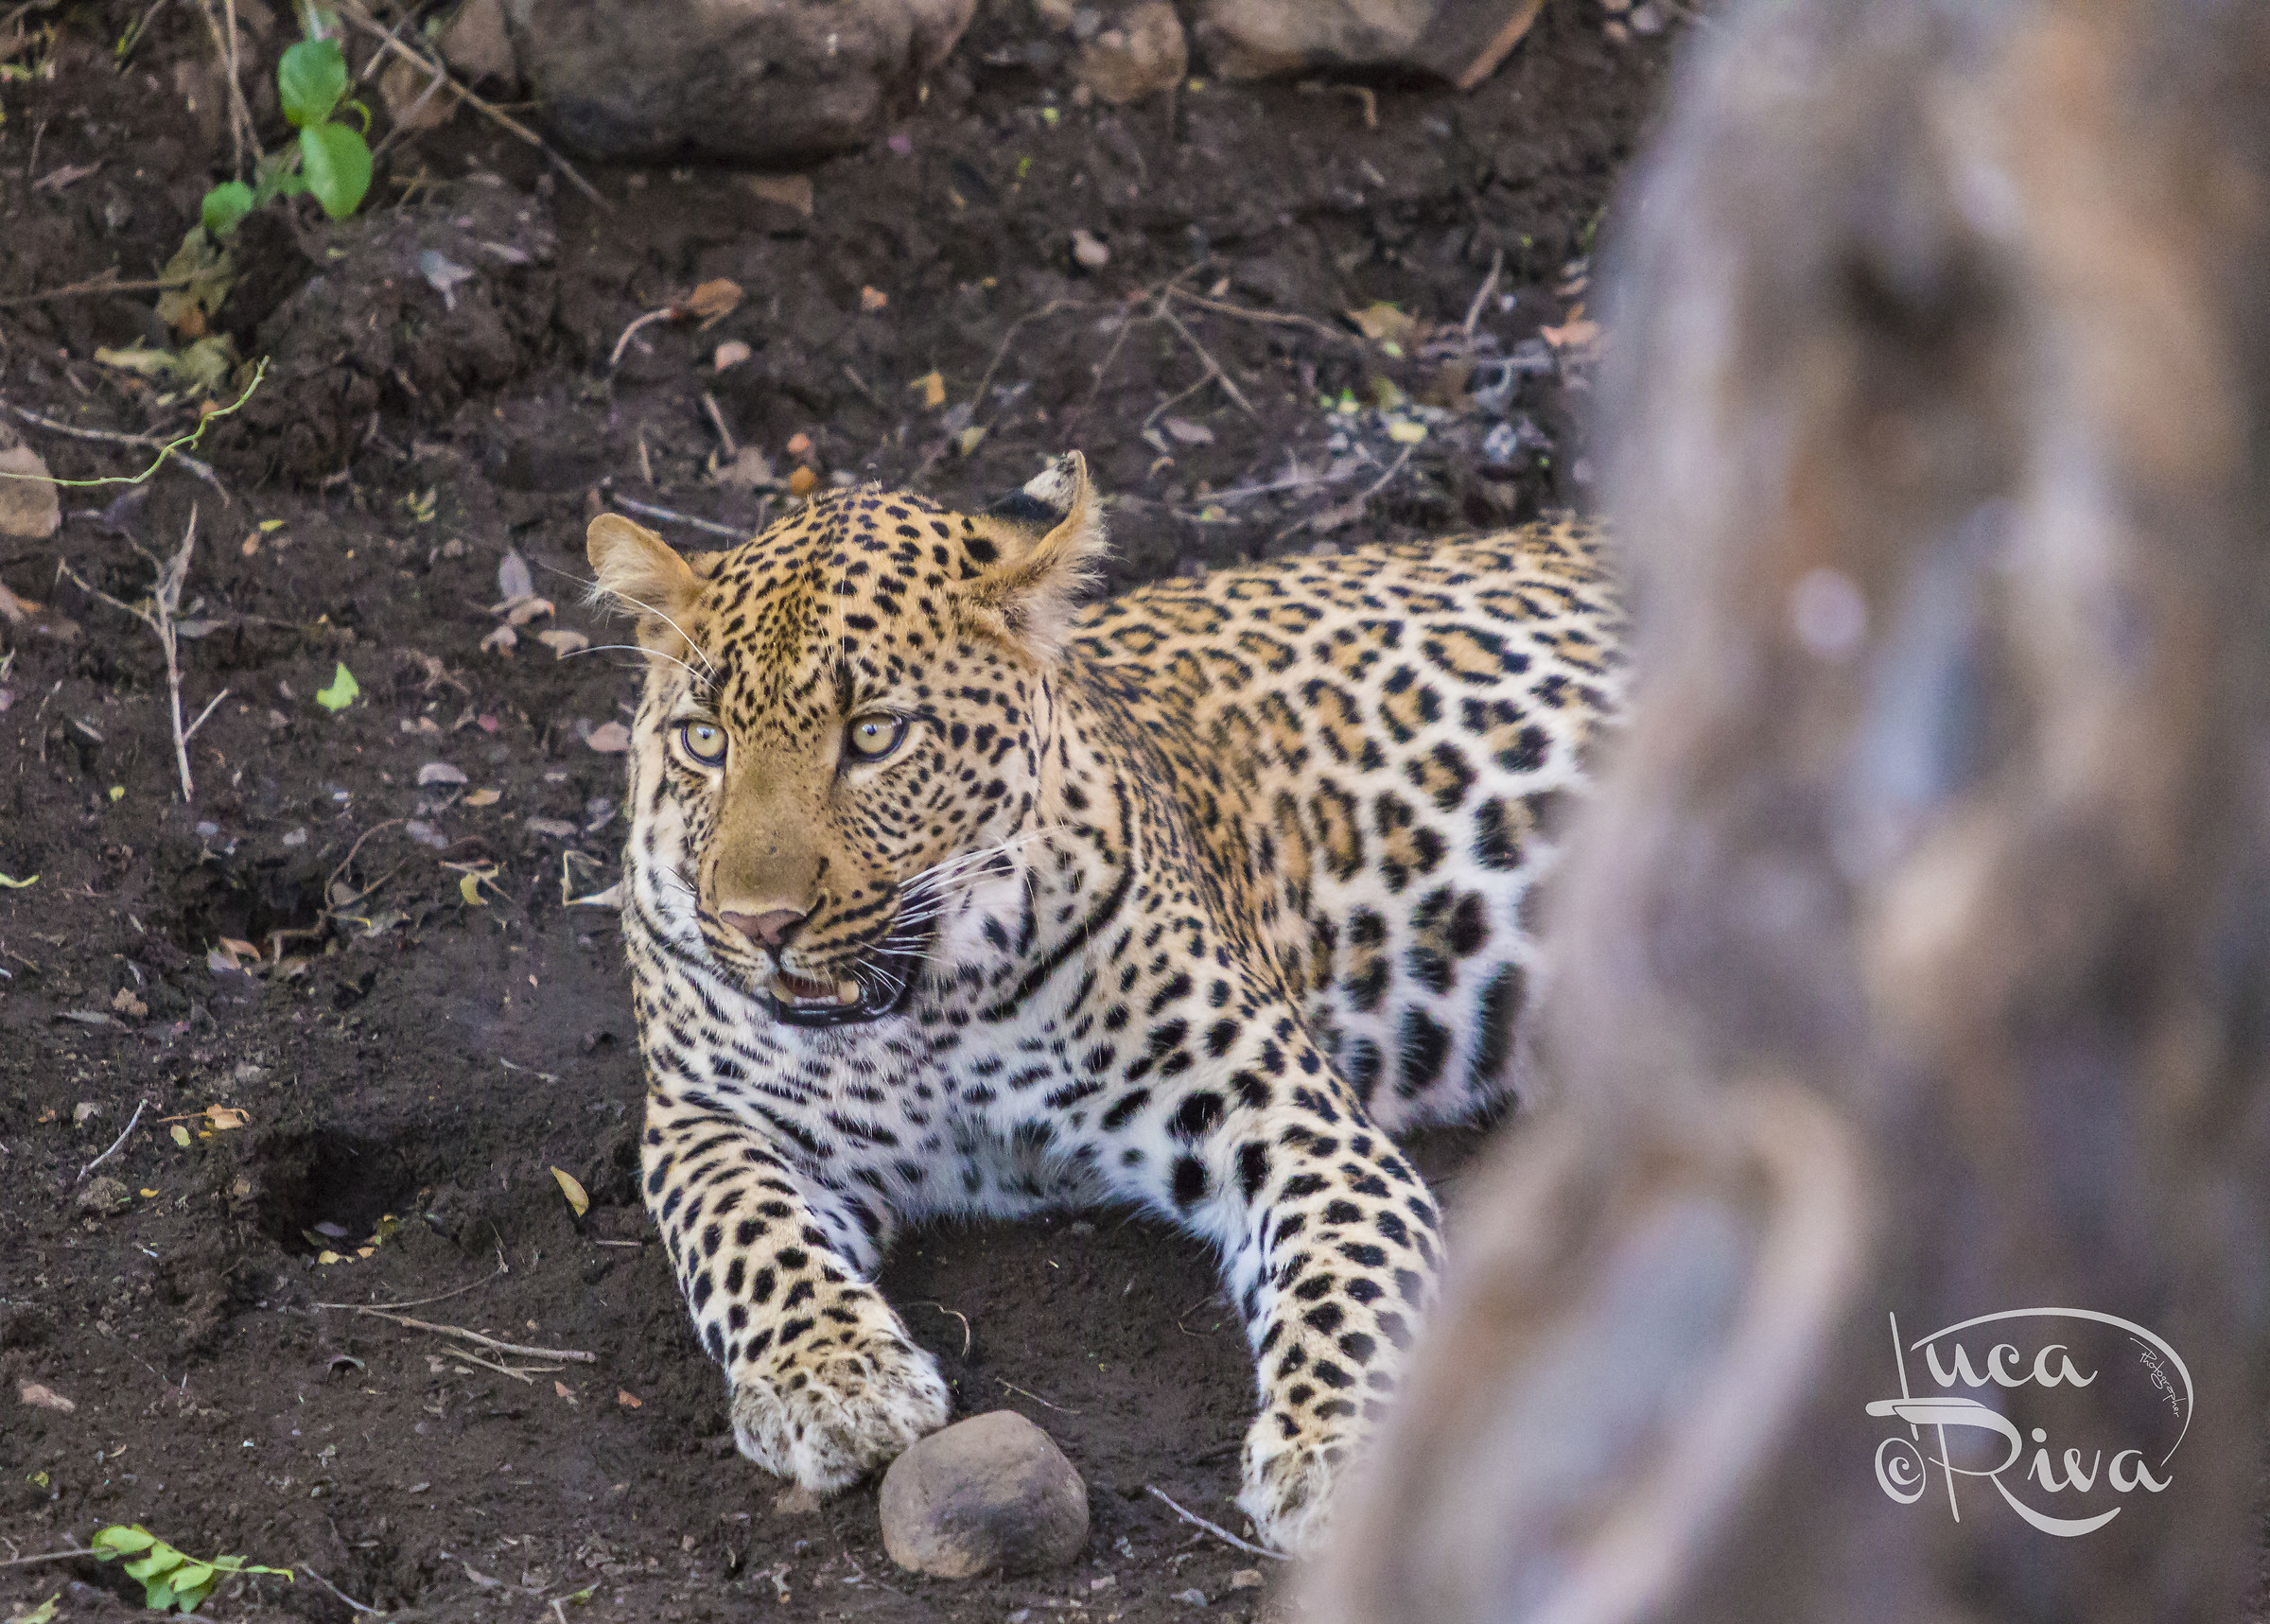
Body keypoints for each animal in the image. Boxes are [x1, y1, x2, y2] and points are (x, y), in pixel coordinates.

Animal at [586, 452, 1624, 1553]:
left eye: (873, 735)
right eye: (704, 739)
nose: (757, 924)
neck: (925, 1016)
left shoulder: (1289, 1114)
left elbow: (1349, 1264)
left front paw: (1341, 1456)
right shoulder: (705, 1116)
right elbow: (744, 1233)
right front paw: (835, 1377)